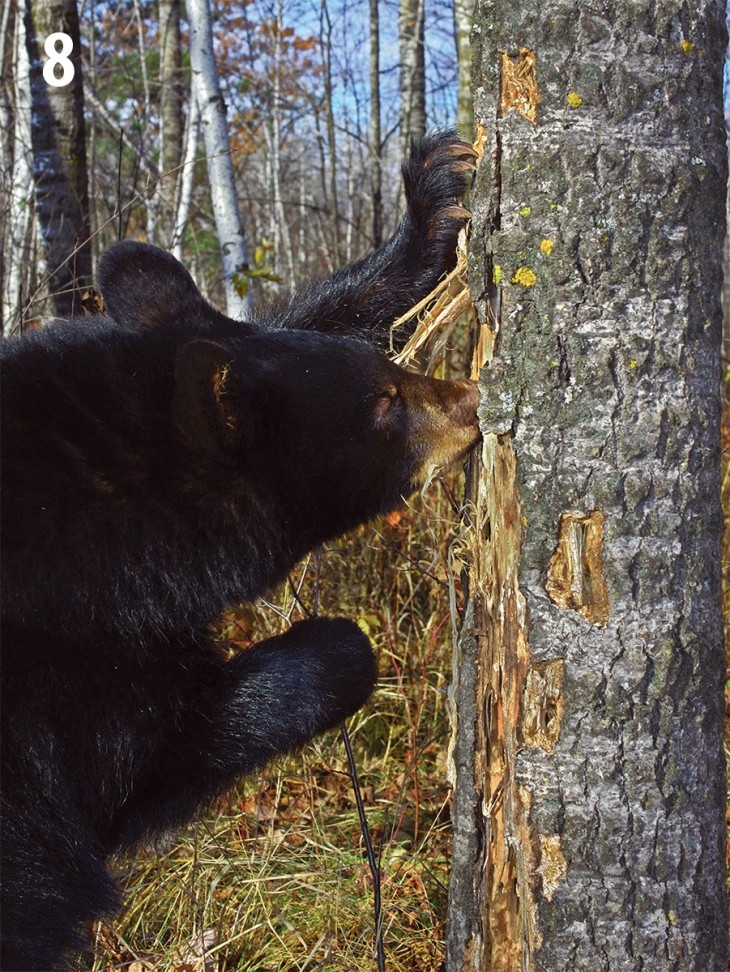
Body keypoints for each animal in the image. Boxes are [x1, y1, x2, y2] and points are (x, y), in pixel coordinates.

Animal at [0, 132, 480, 970]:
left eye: (386, 378)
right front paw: (338, 642)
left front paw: (434, 198)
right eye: (383, 406)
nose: (468, 402)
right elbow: (150, 763)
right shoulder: (48, 711)